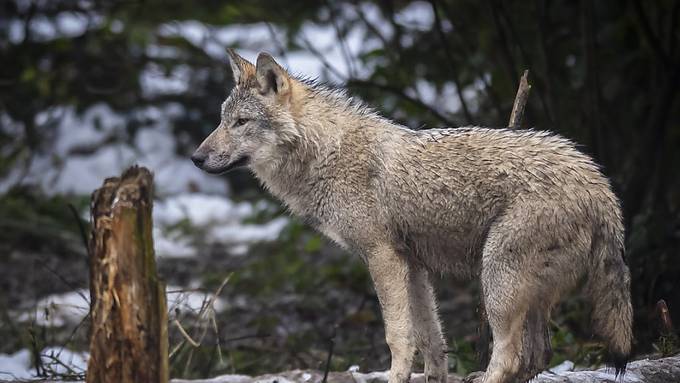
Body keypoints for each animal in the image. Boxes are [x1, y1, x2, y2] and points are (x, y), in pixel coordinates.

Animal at [190, 51, 632, 383]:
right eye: (221, 121)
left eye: (241, 123)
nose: (196, 158)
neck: (326, 154)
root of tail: (599, 185)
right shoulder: (414, 266)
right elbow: (431, 339)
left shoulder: (383, 258)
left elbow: (398, 336)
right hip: (526, 293)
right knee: (538, 355)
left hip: (496, 282)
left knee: (510, 356)